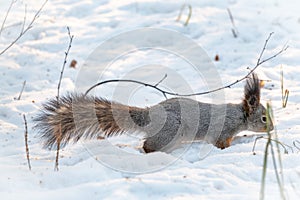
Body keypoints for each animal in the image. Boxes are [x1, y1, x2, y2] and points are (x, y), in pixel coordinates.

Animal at [34, 73, 274, 153]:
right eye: (263, 118)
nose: (272, 128)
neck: (239, 115)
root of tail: (149, 116)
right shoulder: (222, 130)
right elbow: (220, 143)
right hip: (170, 131)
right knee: (148, 145)